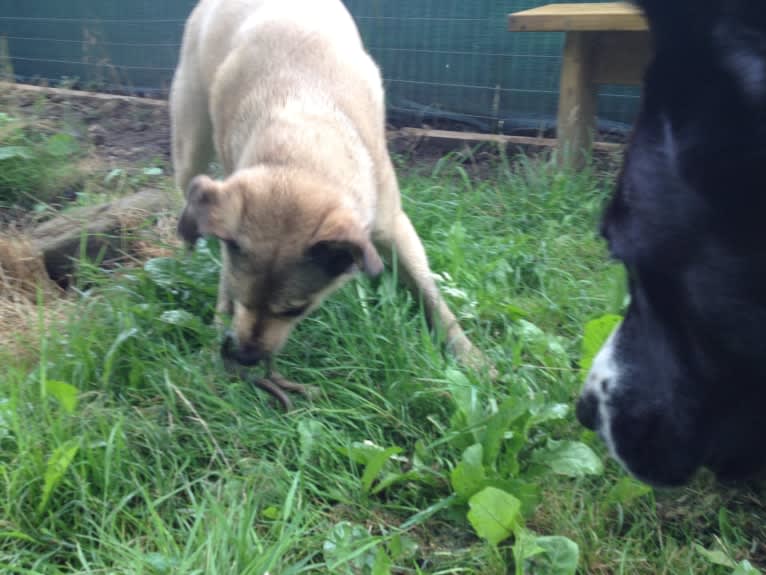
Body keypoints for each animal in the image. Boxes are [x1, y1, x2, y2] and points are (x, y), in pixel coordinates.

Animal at [172, 0, 488, 396]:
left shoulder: (393, 227)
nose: (245, 358)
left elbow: (432, 295)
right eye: (245, 299)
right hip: (191, 146)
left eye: (296, 310)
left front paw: (469, 354)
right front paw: (217, 331)